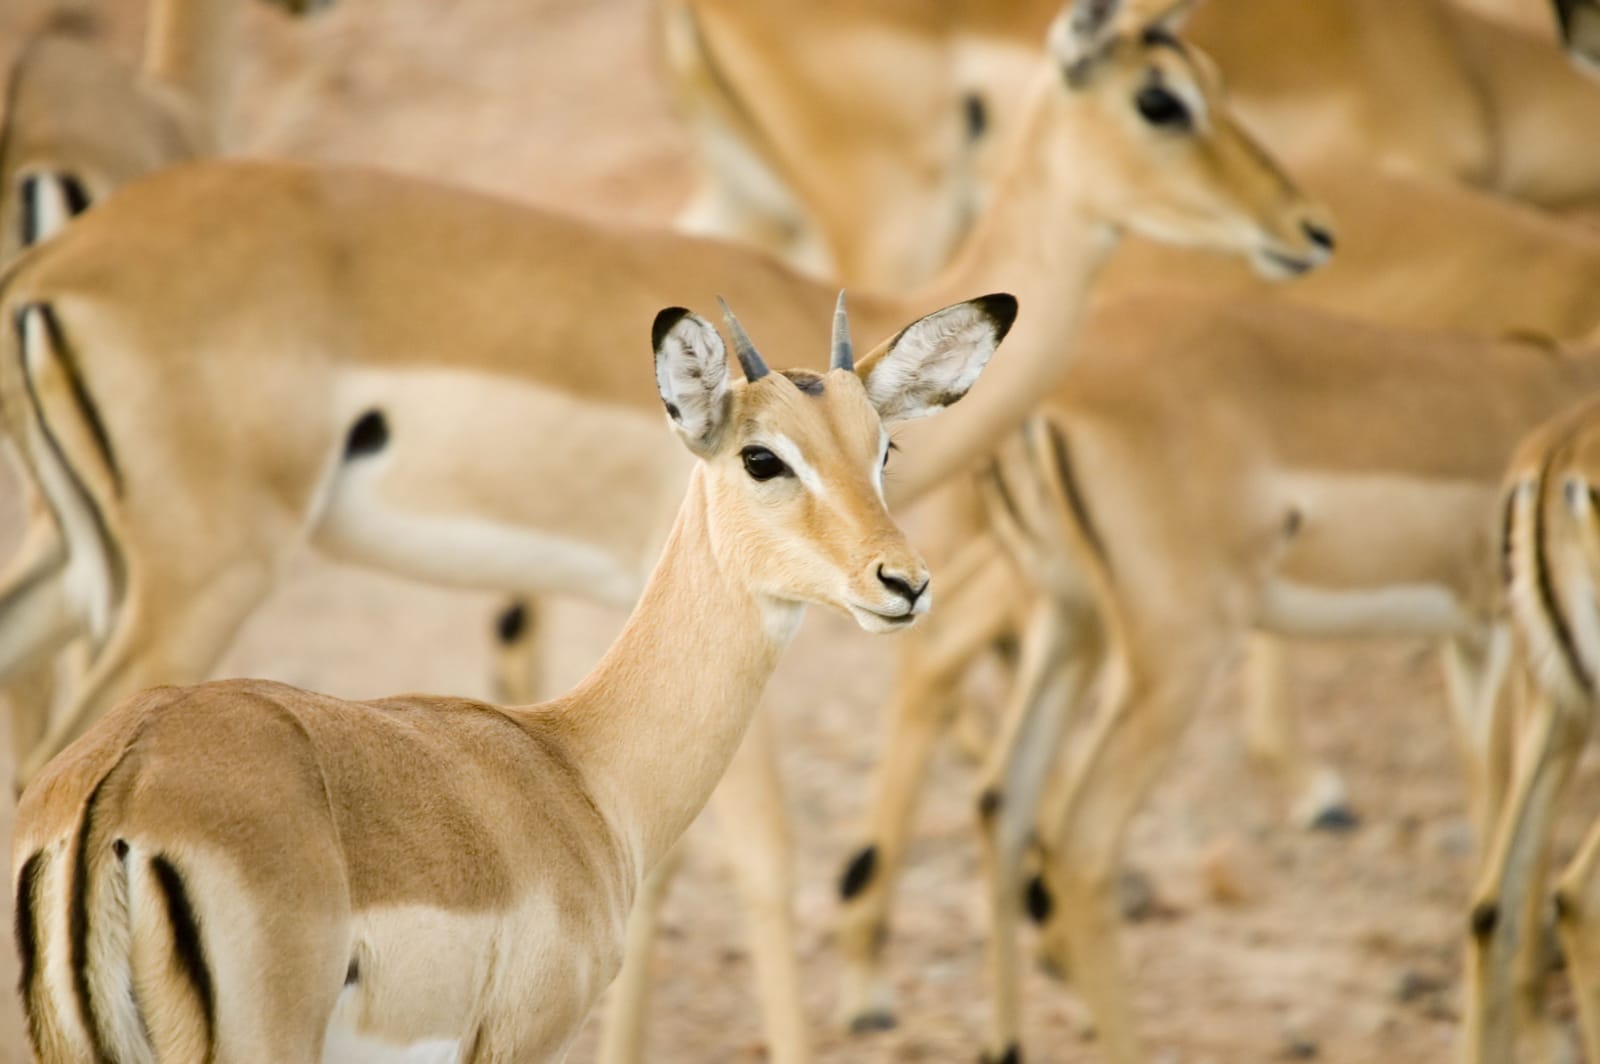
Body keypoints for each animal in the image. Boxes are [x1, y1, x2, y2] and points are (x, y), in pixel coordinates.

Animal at [7, 293, 1016, 1063]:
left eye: (883, 449)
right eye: (762, 456)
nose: (904, 583)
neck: (579, 768)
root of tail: (119, 784)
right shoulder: (521, 1040)